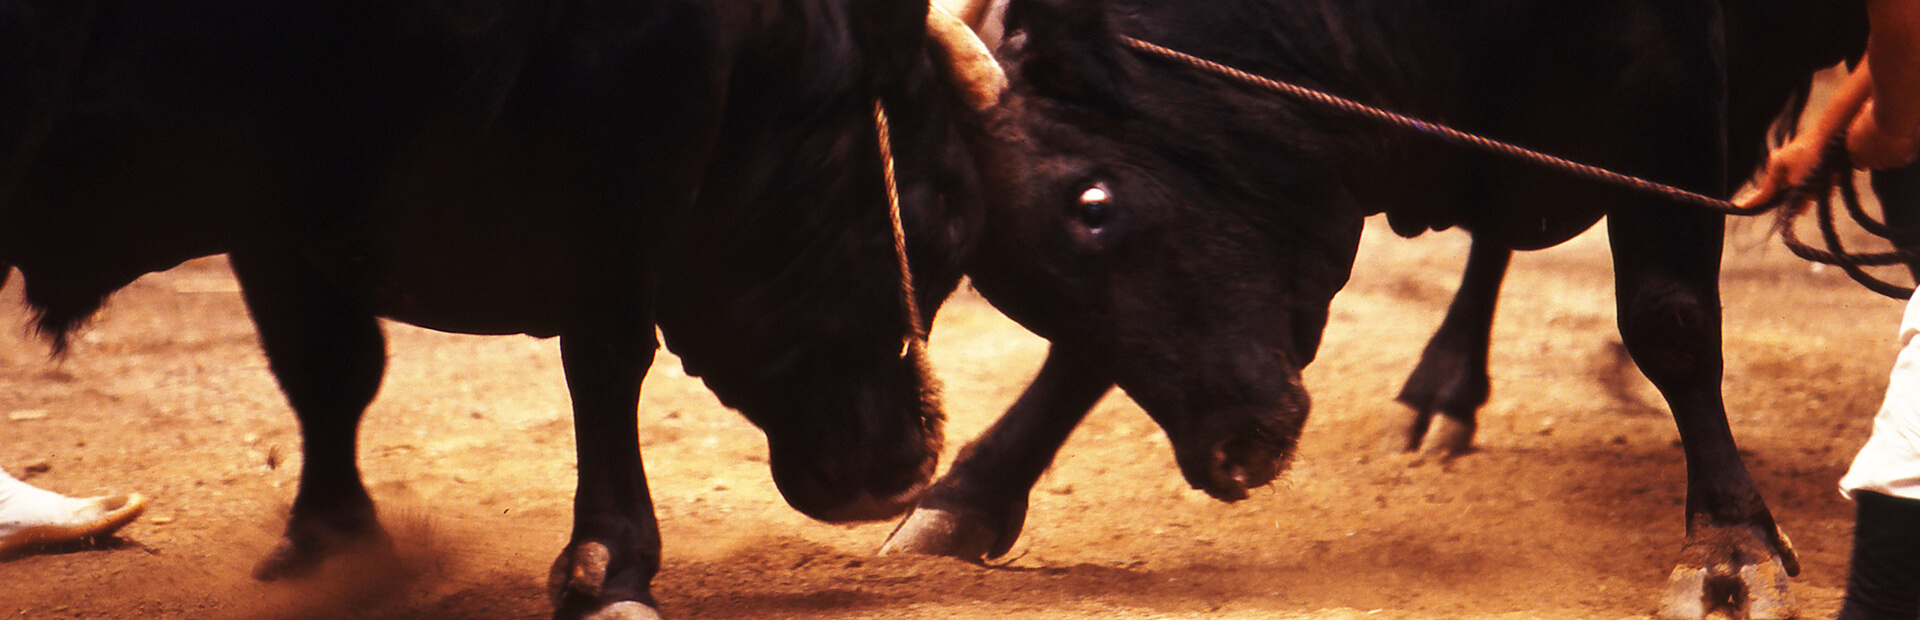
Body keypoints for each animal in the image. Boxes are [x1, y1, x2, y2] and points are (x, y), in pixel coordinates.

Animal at [0, 2, 990, 618]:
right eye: (939, 225)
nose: (904, 470)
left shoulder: (281, 193)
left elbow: (328, 366)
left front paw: (331, 540)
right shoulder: (629, 121)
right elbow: (605, 352)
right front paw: (611, 569)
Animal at [898, 1, 1889, 620]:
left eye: (1093, 204)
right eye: (1007, 283)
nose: (1230, 454)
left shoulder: (1669, 82)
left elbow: (1669, 317)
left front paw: (1728, 544)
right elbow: (1084, 357)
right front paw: (966, 494)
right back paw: (1442, 389)